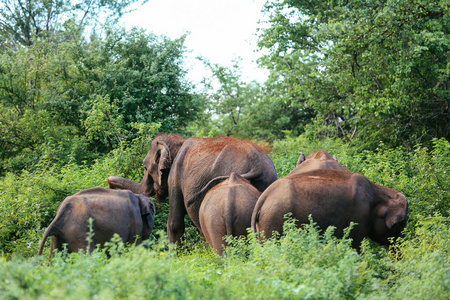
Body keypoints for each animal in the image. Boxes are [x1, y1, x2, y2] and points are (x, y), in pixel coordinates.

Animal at [108, 135, 278, 245]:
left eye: (144, 167)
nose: (108, 183)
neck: (178, 141)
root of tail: (255, 161)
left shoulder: (176, 176)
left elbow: (174, 223)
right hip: (267, 180)